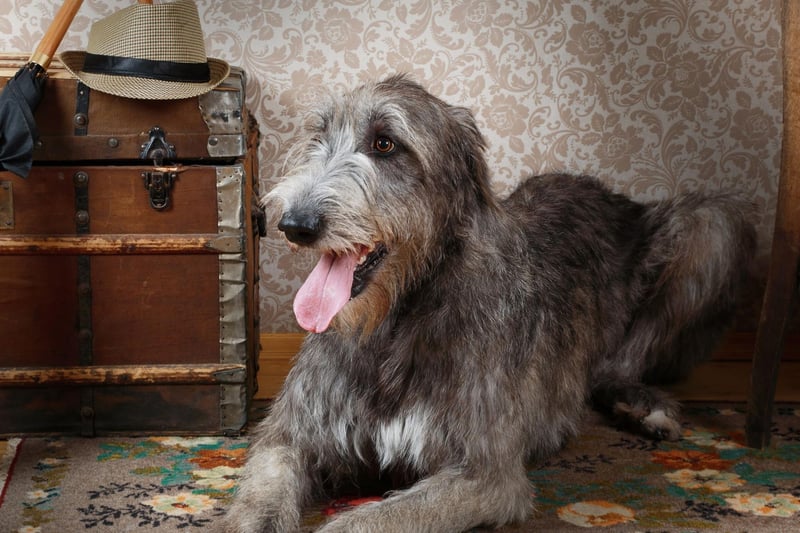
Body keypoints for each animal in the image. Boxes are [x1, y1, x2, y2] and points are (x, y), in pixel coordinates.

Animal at [225, 76, 756, 532]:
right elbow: (261, 490)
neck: (397, 320)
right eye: (318, 137)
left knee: (619, 361)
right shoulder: (291, 436)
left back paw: (644, 406)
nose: (293, 222)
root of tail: (609, 192)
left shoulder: (484, 475)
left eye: (385, 144)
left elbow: (371, 520)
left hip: (713, 226)